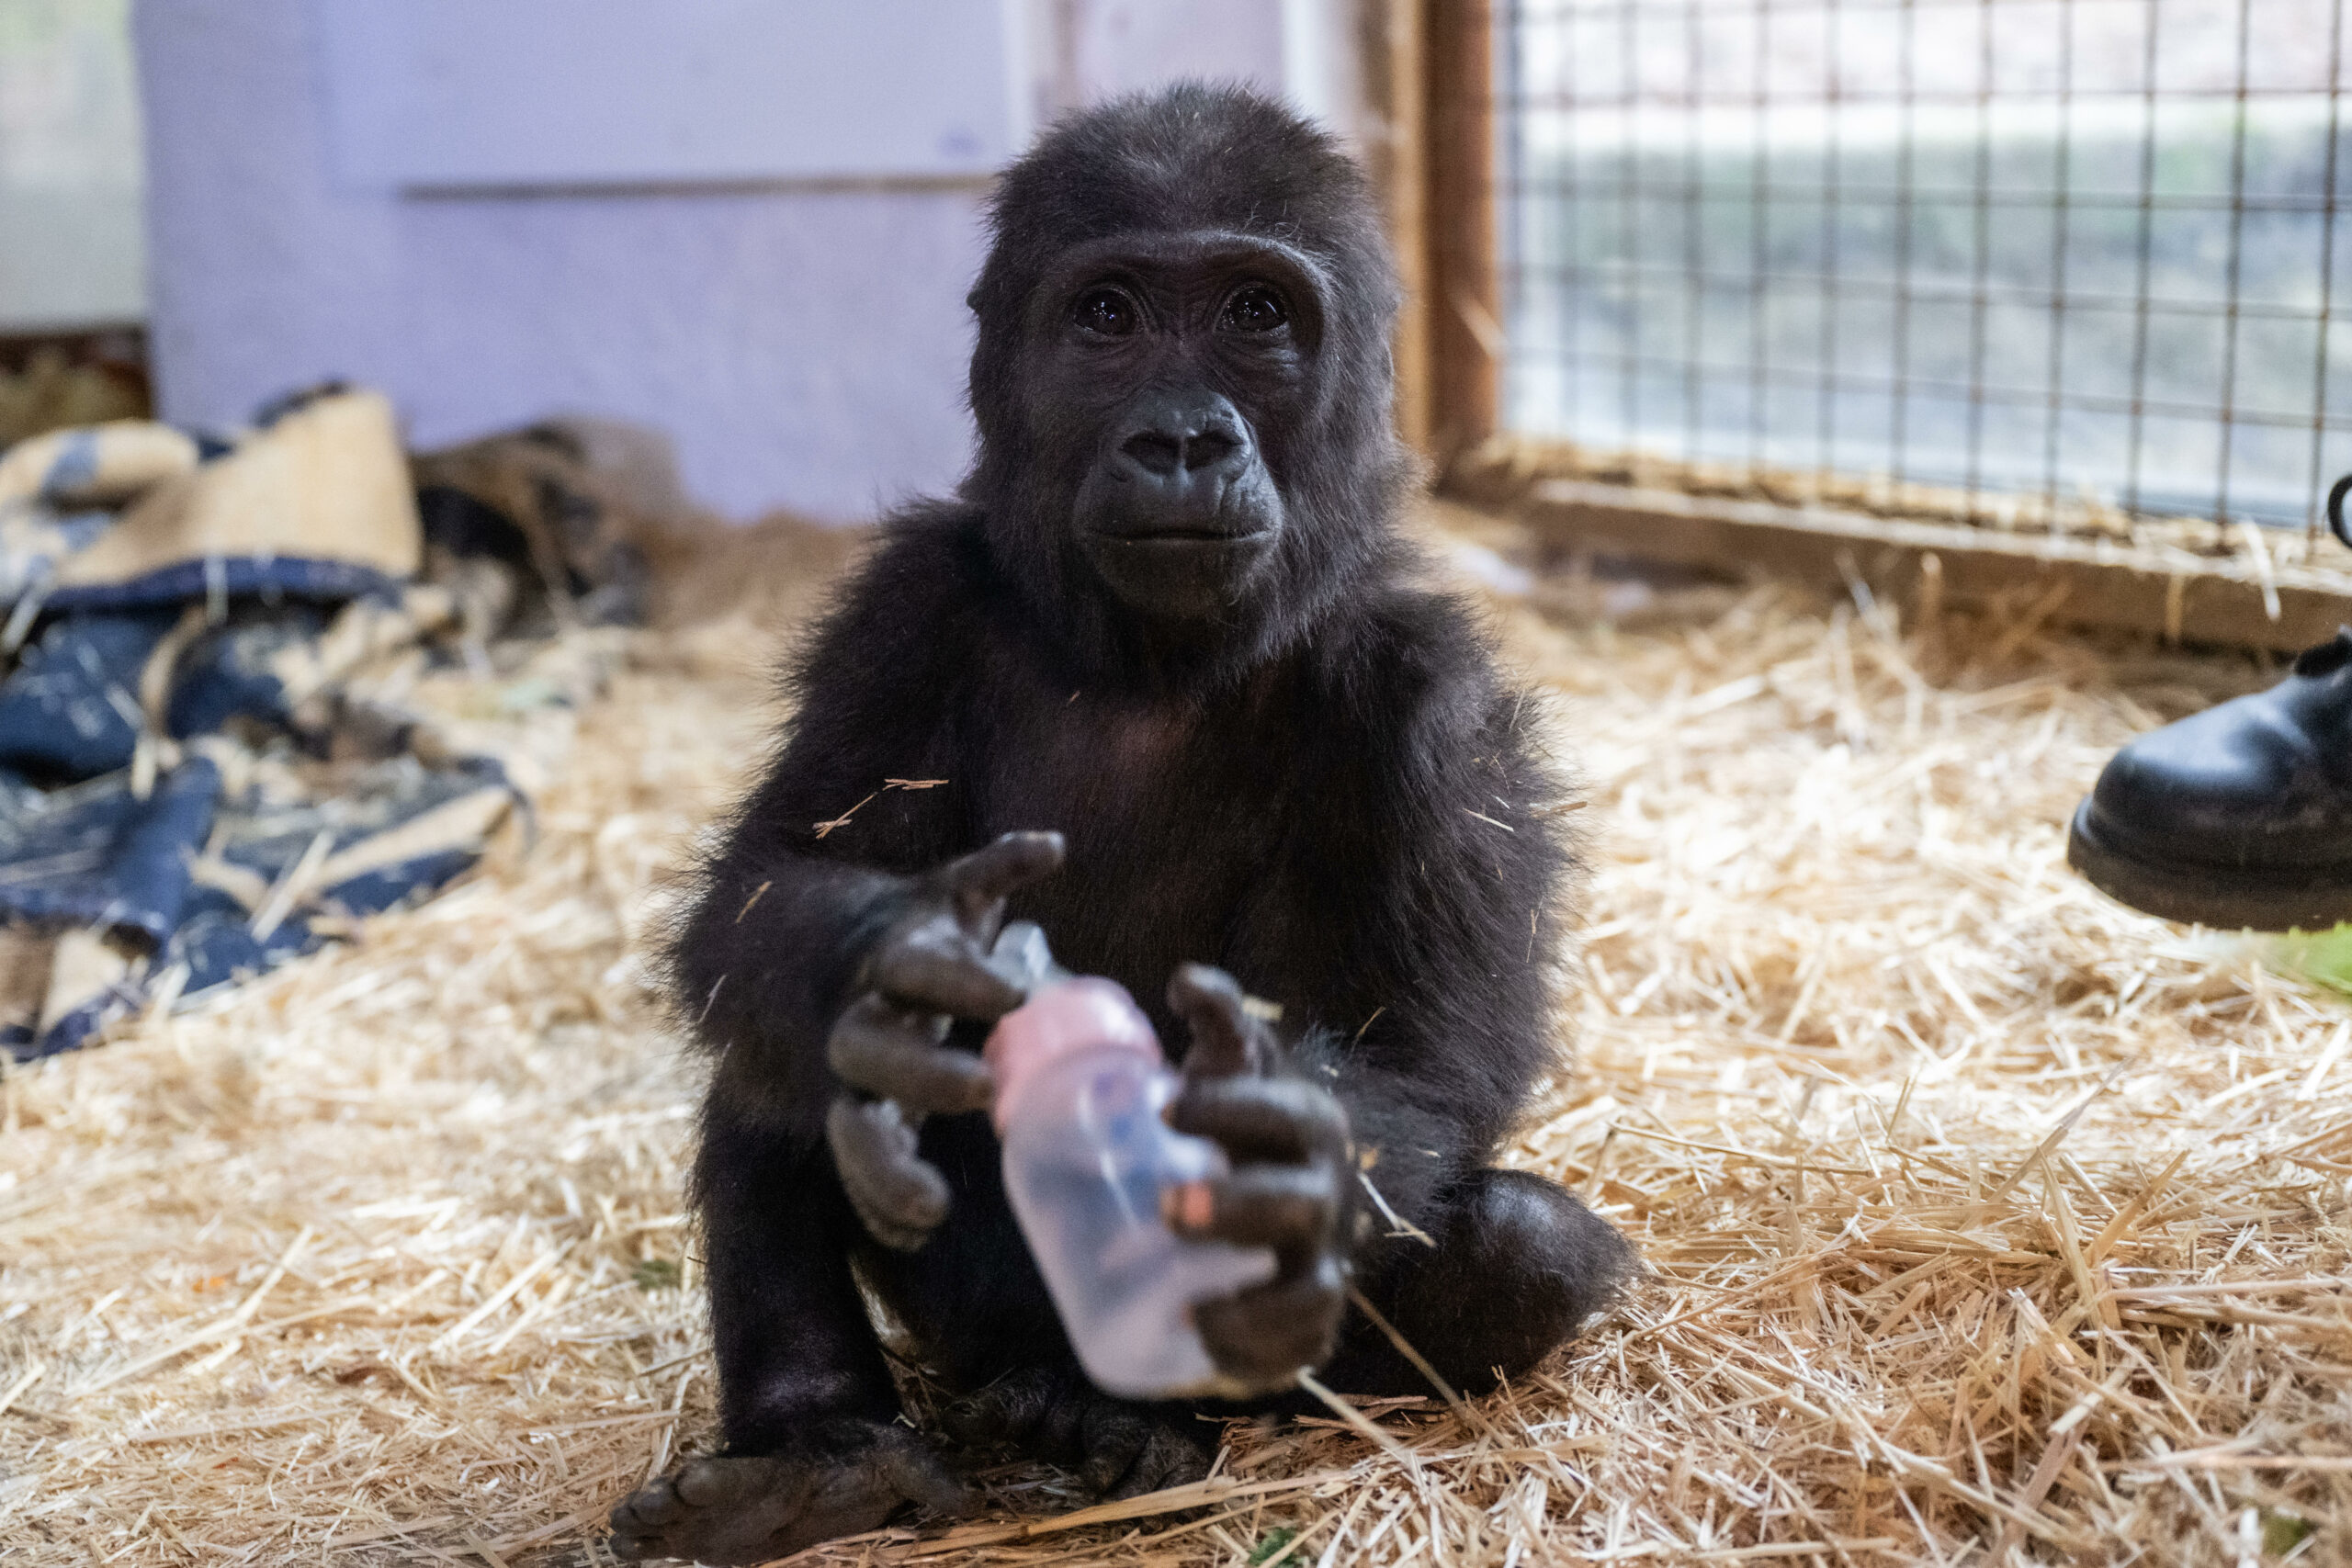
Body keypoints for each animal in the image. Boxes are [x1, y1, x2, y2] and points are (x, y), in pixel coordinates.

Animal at [611, 88, 1636, 1568]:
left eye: (1259, 315)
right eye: (1108, 316)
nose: (1183, 439)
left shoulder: (1434, 699)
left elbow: (1442, 1052)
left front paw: (1278, 1150)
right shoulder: (899, 610)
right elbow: (769, 887)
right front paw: (891, 967)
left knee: (1520, 1247)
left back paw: (1139, 1422)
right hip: (968, 1324)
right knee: (773, 1064)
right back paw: (821, 1457)